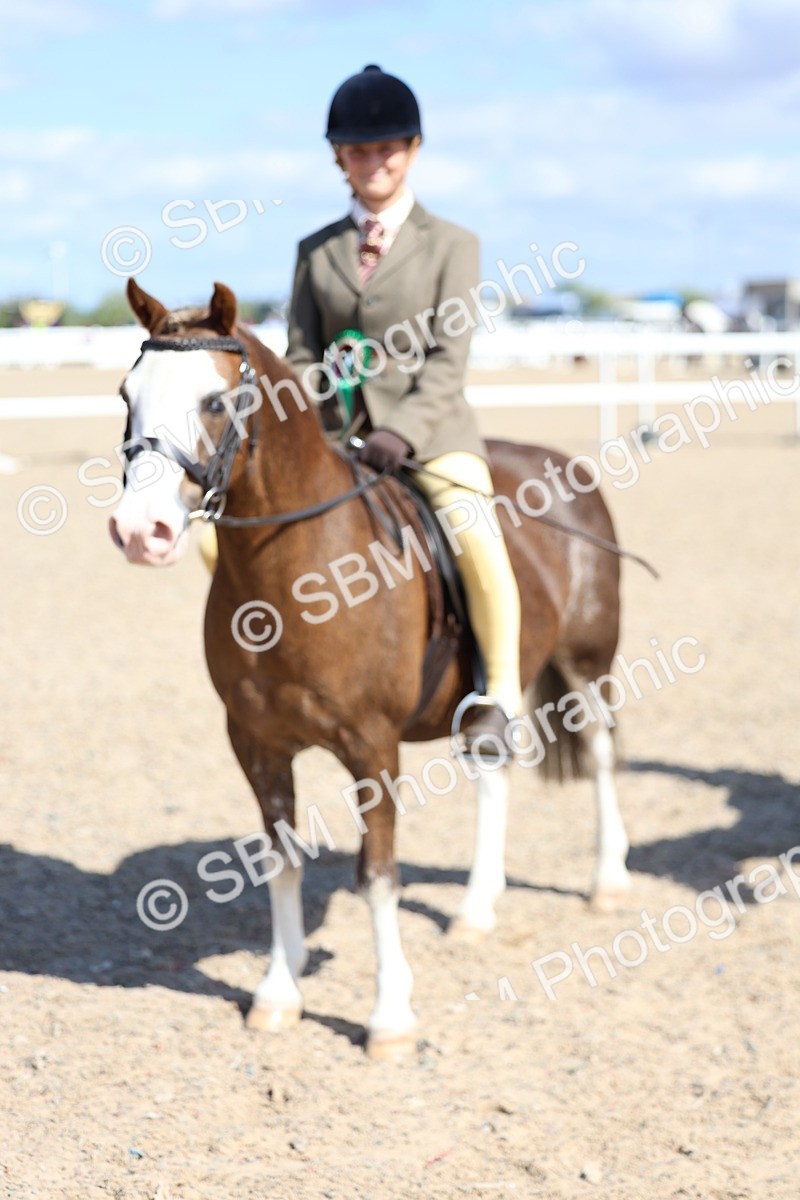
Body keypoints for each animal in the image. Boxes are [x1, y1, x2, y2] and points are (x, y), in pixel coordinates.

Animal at [109, 278, 632, 1059]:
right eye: (125, 394)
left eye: (216, 401)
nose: (140, 532)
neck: (292, 579)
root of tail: (560, 466)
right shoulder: (256, 744)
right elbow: (283, 861)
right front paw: (278, 991)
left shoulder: (373, 747)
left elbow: (378, 875)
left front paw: (389, 1018)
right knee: (494, 770)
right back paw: (476, 909)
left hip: (586, 665)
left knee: (598, 753)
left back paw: (606, 880)